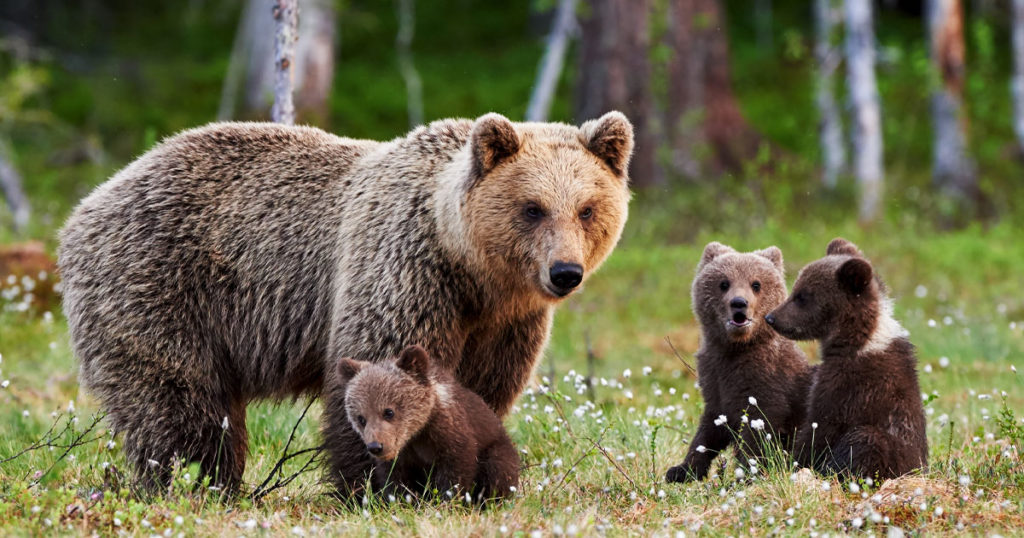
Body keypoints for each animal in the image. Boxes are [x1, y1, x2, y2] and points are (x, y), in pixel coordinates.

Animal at [336, 345, 519, 502]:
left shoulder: (452, 435)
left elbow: (456, 470)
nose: (376, 446)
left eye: (388, 412)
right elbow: (394, 479)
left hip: (497, 447)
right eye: (361, 418)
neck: (417, 433)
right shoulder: (401, 457)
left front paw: (447, 501)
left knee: (498, 468)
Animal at [665, 242, 815, 483]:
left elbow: (758, 431)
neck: (737, 348)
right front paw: (681, 469)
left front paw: (746, 474)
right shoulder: (715, 379)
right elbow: (710, 429)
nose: (739, 303)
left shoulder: (768, 383)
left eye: (756, 284)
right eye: (724, 283)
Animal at [765, 238, 928, 479]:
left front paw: (789, 462)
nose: (771, 317)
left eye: (802, 295)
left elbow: (820, 427)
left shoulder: (850, 387)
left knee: (866, 440)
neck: (857, 341)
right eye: (796, 289)